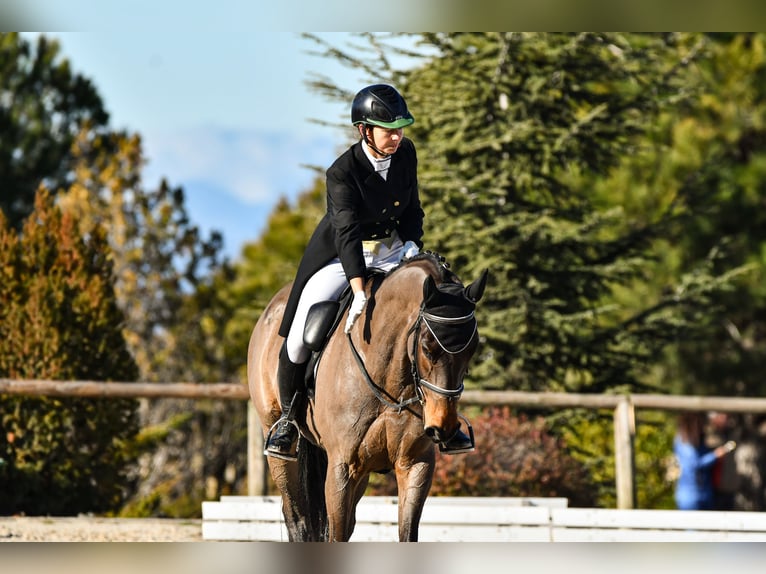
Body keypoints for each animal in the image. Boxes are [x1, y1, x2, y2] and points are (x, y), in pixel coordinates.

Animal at [249, 254, 488, 544]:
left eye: (473, 349)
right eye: (427, 347)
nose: (444, 427)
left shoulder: (414, 464)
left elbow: (406, 534)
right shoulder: (342, 467)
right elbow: (335, 534)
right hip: (279, 449)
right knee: (297, 518)